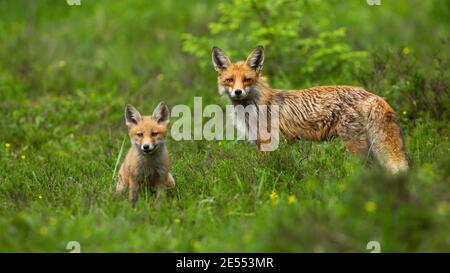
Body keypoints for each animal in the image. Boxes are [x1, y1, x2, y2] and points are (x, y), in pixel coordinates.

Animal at [213, 45, 410, 172]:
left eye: (247, 80)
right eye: (230, 80)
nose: (238, 92)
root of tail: (372, 94)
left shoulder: (267, 143)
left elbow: (265, 171)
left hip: (355, 146)